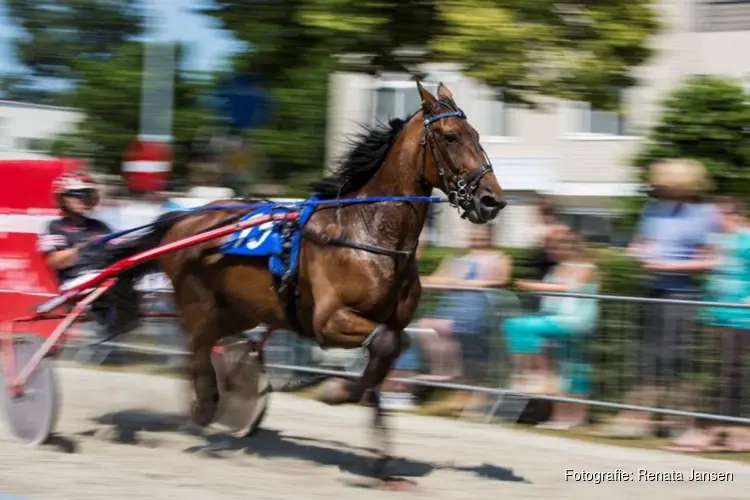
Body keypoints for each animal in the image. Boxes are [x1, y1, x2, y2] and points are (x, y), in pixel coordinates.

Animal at [116, 81, 506, 472]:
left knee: (206, 348)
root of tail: (182, 219)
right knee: (197, 352)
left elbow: (391, 352)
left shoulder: (392, 320)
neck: (369, 233)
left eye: (477, 135)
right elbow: (383, 344)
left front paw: (380, 457)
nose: (492, 201)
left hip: (239, 310)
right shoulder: (328, 319)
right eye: (451, 136)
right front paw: (334, 389)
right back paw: (206, 409)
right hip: (199, 303)